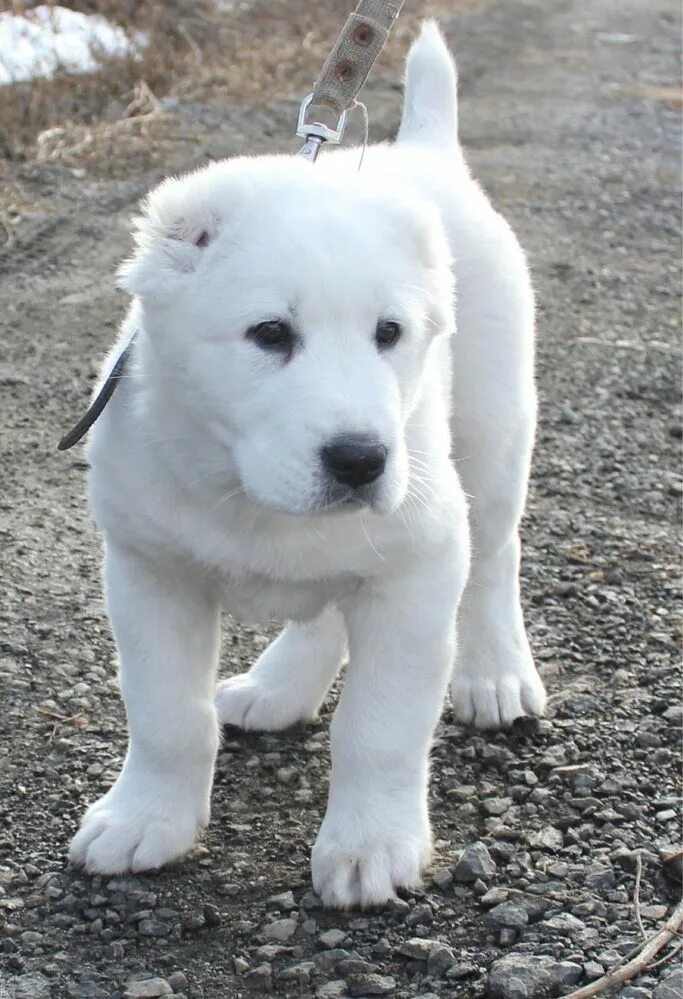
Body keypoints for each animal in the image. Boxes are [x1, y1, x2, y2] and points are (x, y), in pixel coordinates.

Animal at [68, 23, 544, 912]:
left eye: (389, 332)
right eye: (269, 334)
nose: (361, 459)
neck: (249, 492)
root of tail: (420, 148)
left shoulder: (417, 574)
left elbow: (380, 727)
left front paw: (369, 846)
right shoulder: (149, 573)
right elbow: (166, 715)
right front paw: (146, 818)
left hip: (493, 435)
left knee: (496, 557)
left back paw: (494, 674)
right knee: (324, 605)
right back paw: (278, 686)